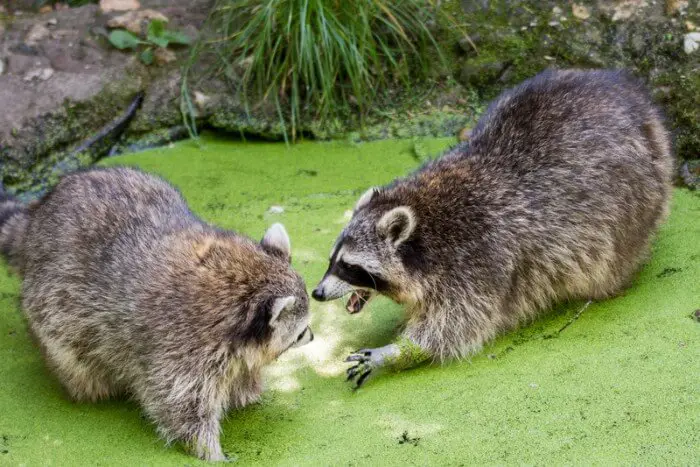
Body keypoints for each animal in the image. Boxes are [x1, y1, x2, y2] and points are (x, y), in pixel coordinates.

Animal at [0, 167, 312, 460]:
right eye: (299, 334)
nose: (312, 337)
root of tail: (36, 219)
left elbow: (240, 375)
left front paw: (248, 394)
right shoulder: (179, 348)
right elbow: (180, 406)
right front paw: (210, 452)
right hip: (54, 316)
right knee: (76, 360)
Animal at [312, 68, 672, 388]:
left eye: (349, 266)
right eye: (332, 259)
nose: (317, 293)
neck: (423, 225)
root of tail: (635, 97)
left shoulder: (478, 259)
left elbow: (456, 327)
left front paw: (398, 351)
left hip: (634, 199)